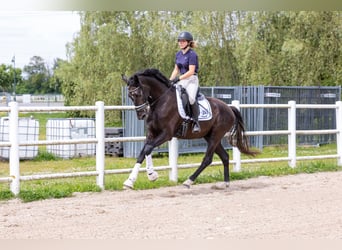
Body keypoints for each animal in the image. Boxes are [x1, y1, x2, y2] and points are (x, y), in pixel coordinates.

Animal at [121, 68, 256, 189]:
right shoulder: (151, 134)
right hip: (210, 136)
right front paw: (131, 181)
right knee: (225, 156)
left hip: (216, 136)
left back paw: (189, 181)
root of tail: (229, 108)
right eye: (129, 96)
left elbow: (148, 149)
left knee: (207, 159)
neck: (161, 102)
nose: (141, 115)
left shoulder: (166, 134)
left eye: (137, 94)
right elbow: (143, 152)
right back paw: (225, 183)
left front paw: (151, 174)